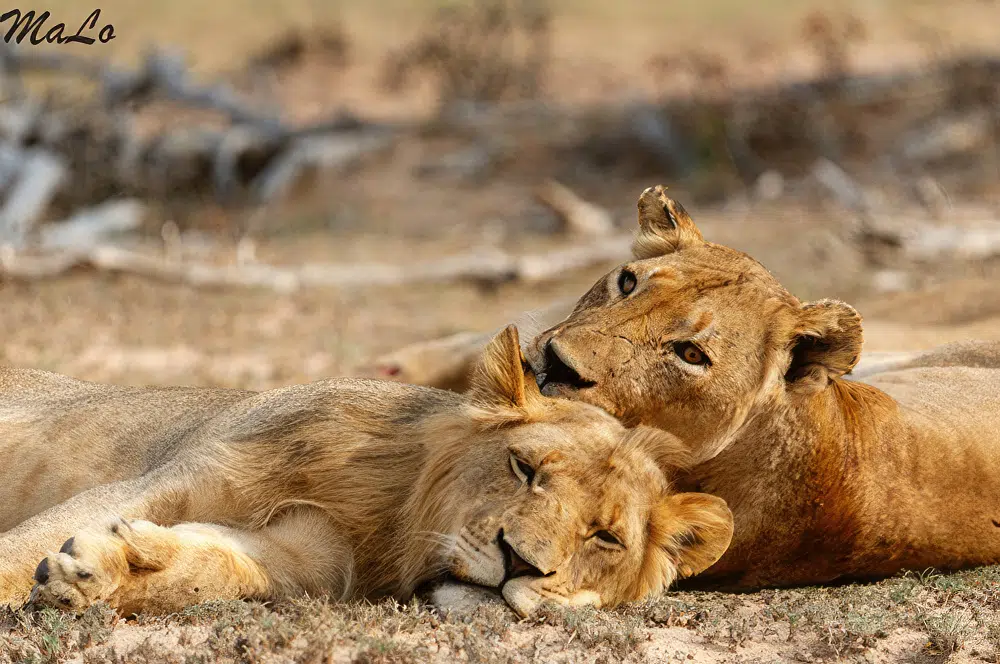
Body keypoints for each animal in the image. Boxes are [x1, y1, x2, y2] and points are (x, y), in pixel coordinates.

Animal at [0, 325, 733, 617]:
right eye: (523, 468)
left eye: (604, 537)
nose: (518, 563)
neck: (391, 514)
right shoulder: (176, 474)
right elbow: (21, 547)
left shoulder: (305, 554)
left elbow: (213, 568)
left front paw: (105, 571)